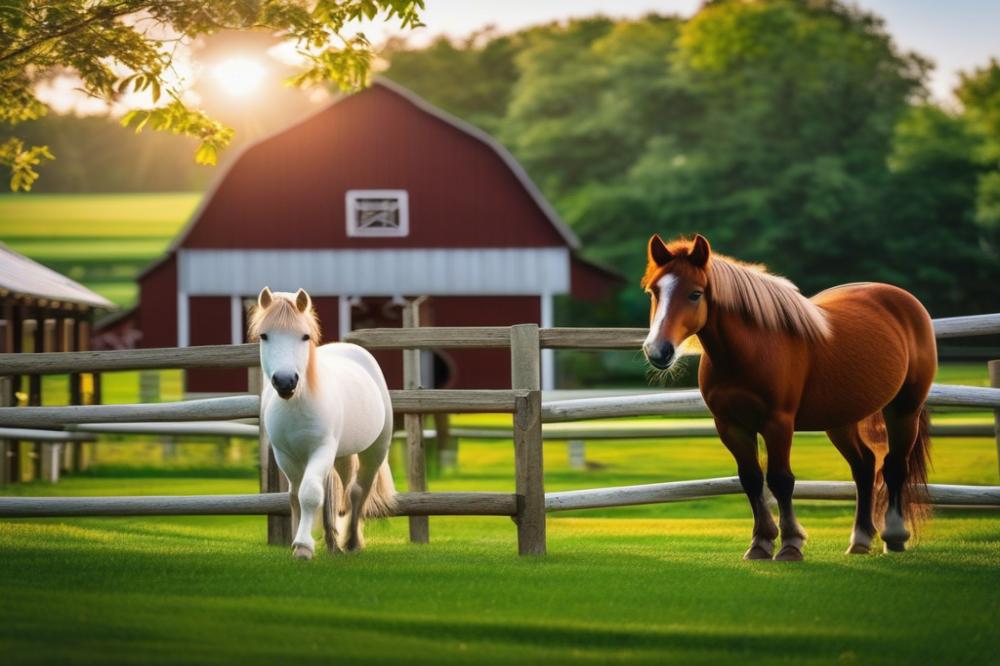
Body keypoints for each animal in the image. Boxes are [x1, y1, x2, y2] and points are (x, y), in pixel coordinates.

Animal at [249, 287, 397, 560]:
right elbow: (296, 495)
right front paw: (298, 542)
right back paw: (333, 543)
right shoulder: (286, 456)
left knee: (358, 491)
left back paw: (351, 542)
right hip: (341, 455)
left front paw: (304, 546)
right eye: (264, 335)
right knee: (338, 495)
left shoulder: (321, 449)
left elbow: (310, 493)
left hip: (375, 450)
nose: (285, 381)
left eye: (304, 336)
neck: (297, 405)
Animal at [641, 234, 935, 560]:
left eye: (695, 294)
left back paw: (893, 536)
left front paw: (791, 544)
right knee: (865, 466)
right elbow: (751, 478)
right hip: (840, 421)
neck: (748, 352)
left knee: (895, 467)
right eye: (654, 291)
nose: (658, 351)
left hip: (904, 409)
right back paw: (859, 539)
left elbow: (781, 479)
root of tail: (904, 301)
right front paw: (760, 542)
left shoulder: (778, 423)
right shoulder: (730, 426)